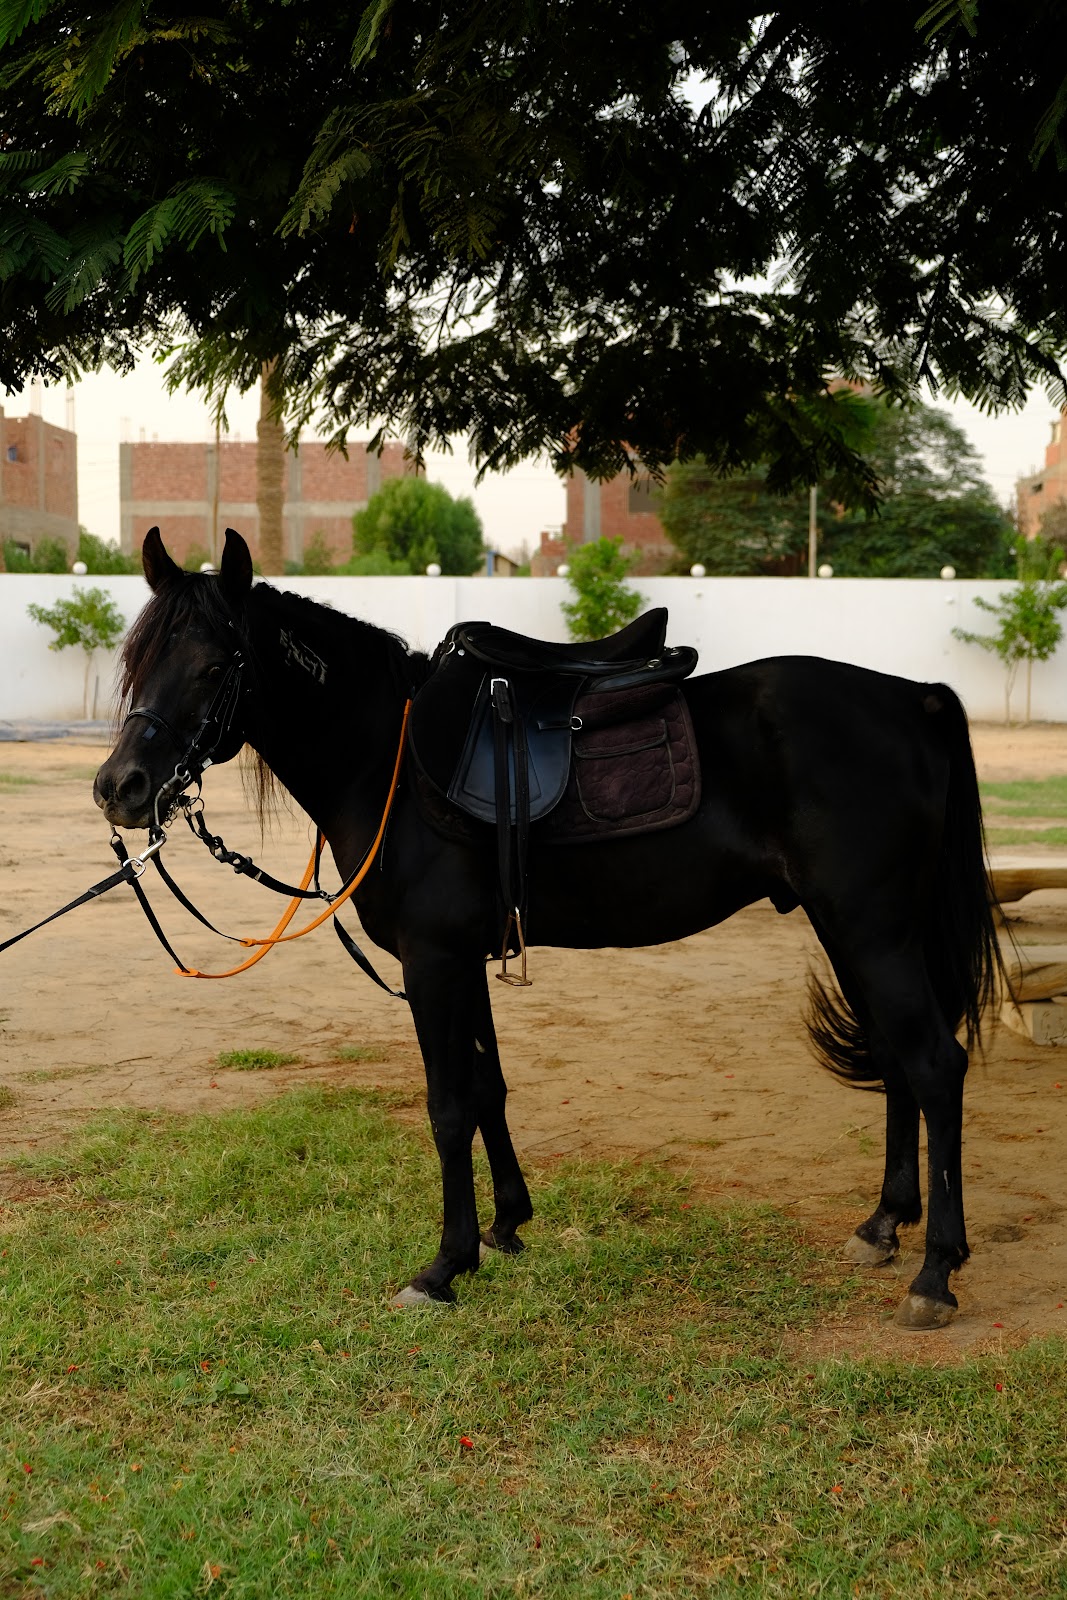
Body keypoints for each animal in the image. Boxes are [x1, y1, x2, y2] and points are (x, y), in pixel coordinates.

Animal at [93, 527, 1000, 1330]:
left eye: (216, 665)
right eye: (136, 663)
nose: (120, 788)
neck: (386, 758)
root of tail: (910, 697)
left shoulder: (432, 962)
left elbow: (448, 1104)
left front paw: (443, 1266)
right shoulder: (464, 959)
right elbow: (487, 1087)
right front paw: (504, 1226)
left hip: (871, 929)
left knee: (933, 1065)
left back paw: (934, 1273)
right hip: (851, 930)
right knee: (893, 1060)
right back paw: (882, 1226)